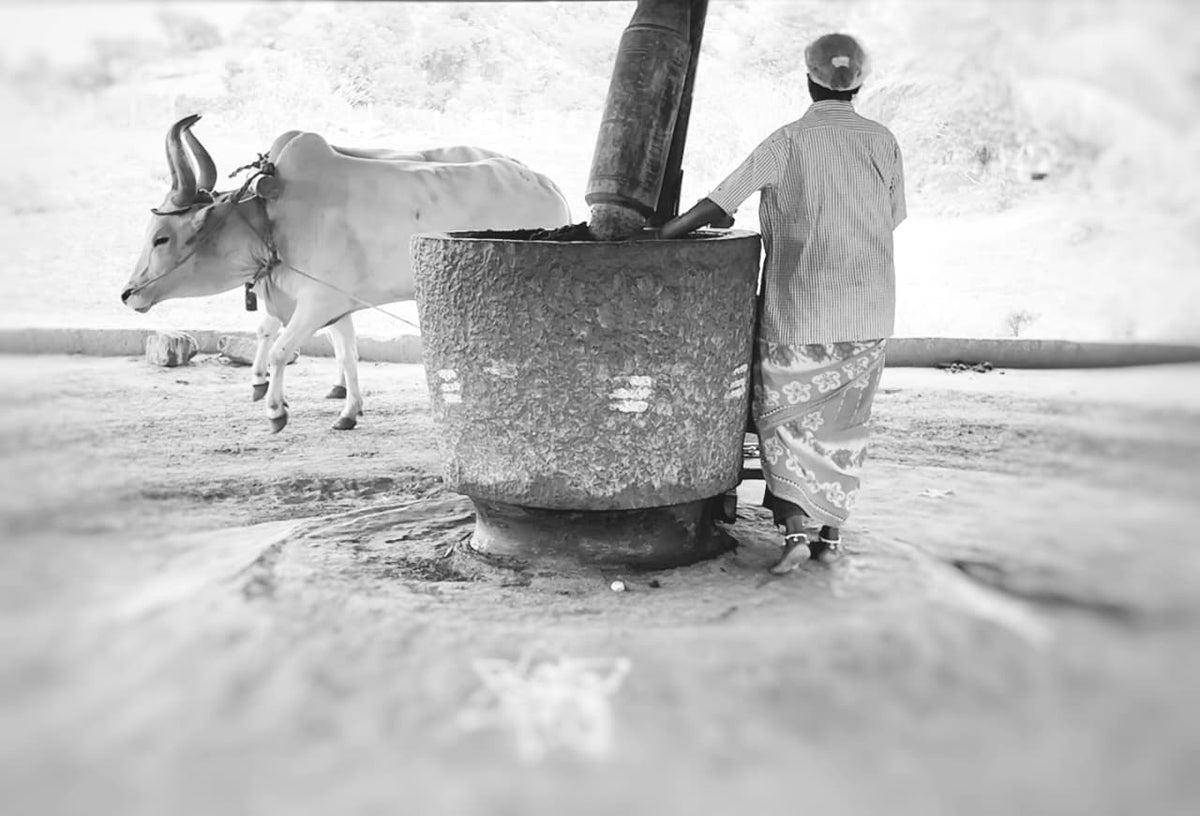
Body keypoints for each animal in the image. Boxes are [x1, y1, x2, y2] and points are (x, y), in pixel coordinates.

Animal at [121, 114, 571, 432]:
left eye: (161, 238)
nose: (128, 293)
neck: (273, 219)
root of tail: (549, 185)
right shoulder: (335, 304)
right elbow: (345, 353)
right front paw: (348, 410)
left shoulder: (318, 302)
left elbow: (282, 348)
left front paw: (275, 409)